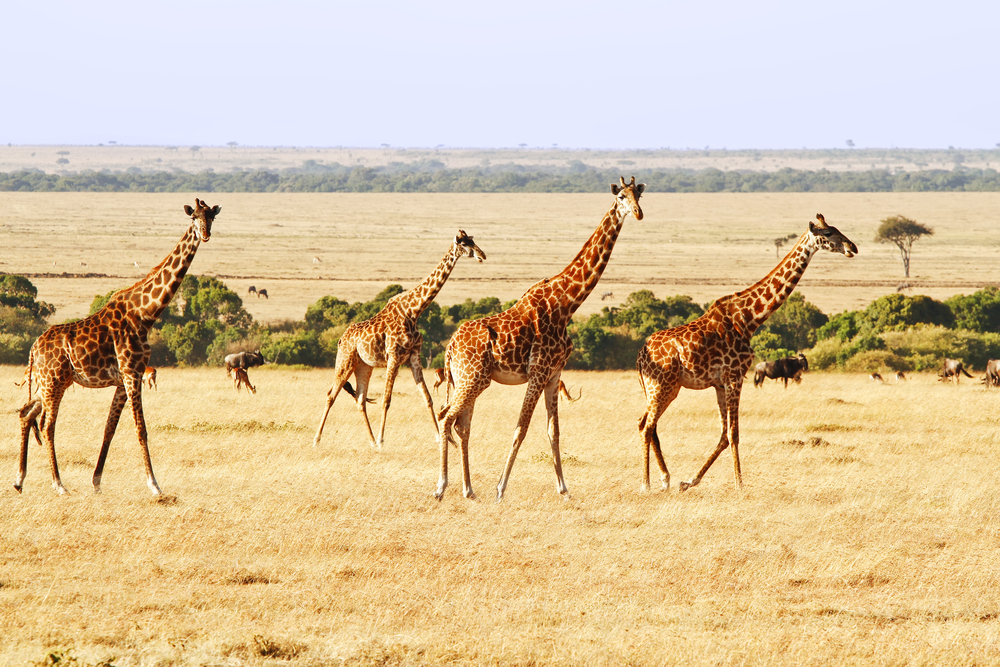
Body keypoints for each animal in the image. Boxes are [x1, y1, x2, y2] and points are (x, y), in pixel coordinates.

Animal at [14, 199, 221, 495]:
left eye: (211, 217)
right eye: (193, 217)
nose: (205, 234)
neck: (145, 313)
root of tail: (33, 348)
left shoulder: (124, 379)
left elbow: (109, 429)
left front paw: (97, 482)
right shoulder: (132, 373)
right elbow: (141, 429)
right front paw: (154, 485)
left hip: (49, 383)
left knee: (25, 413)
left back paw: (19, 480)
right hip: (54, 382)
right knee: (47, 425)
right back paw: (59, 485)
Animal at [312, 230, 487, 449]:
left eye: (473, 240)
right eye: (464, 243)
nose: (482, 255)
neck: (414, 311)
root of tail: (340, 340)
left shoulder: (414, 356)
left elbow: (428, 398)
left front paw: (440, 438)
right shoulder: (394, 356)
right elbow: (387, 399)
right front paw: (382, 439)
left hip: (364, 366)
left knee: (360, 399)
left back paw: (370, 441)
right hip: (345, 361)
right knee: (331, 395)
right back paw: (317, 439)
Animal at [435, 176, 645, 501]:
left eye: (640, 195)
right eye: (621, 196)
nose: (637, 213)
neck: (568, 303)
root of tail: (450, 347)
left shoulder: (554, 373)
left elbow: (553, 431)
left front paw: (564, 490)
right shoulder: (537, 372)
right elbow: (521, 428)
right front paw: (500, 489)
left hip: (467, 380)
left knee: (461, 424)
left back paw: (468, 490)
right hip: (472, 379)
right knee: (446, 418)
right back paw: (441, 487)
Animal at [635, 214, 857, 493]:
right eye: (828, 233)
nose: (852, 247)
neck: (750, 318)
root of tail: (639, 356)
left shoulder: (721, 383)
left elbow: (723, 435)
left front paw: (689, 482)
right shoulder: (734, 376)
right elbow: (733, 433)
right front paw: (740, 484)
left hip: (663, 387)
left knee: (646, 423)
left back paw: (665, 479)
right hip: (662, 386)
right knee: (646, 426)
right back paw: (646, 484)